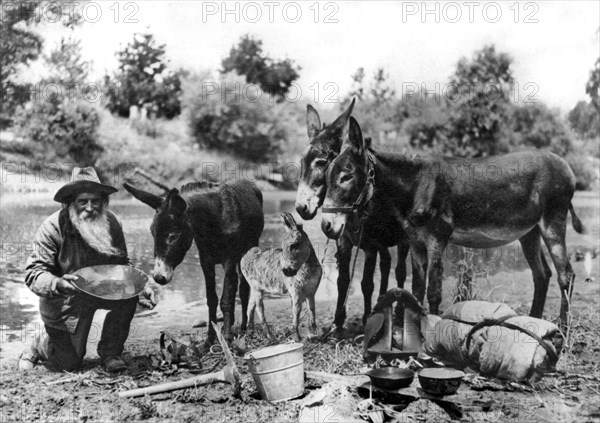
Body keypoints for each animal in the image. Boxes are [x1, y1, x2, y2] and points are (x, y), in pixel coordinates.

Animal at [240, 212, 322, 342]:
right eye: (282, 247)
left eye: (295, 245)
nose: (286, 271)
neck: (308, 269)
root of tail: (247, 253)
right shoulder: (296, 292)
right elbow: (296, 313)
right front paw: (297, 337)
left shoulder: (311, 291)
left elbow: (312, 311)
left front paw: (313, 333)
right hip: (257, 288)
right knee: (259, 309)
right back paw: (269, 336)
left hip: (255, 288)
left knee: (250, 307)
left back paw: (250, 333)